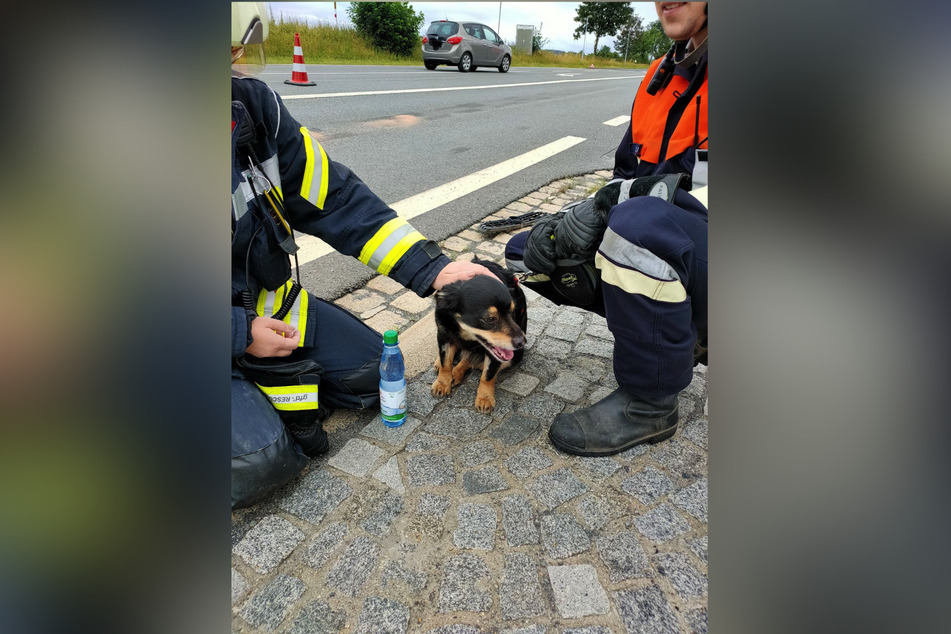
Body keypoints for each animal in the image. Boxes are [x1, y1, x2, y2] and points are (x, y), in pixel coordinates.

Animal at [432, 256, 528, 410]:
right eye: (490, 319)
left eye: (512, 311)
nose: (522, 342)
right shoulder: (444, 335)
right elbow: (445, 363)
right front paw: (442, 384)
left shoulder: (497, 353)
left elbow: (487, 375)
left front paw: (485, 398)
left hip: (514, 358)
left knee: (470, 360)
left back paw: (457, 372)